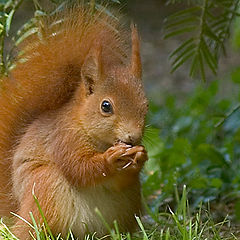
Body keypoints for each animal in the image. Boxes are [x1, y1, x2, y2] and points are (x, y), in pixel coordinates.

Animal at [0, 4, 148, 240]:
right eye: (106, 106)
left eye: (146, 105)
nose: (133, 137)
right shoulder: (63, 138)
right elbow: (78, 167)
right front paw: (109, 159)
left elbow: (120, 181)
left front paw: (141, 156)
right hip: (44, 188)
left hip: (128, 201)